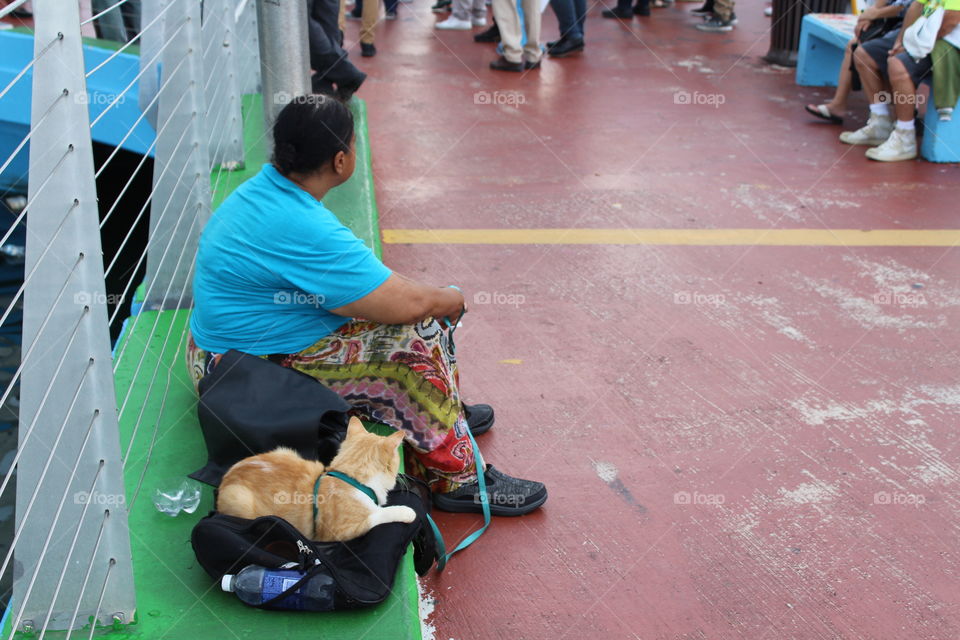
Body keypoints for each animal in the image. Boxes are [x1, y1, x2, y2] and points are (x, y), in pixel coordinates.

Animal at [218, 420, 416, 540]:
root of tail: (225, 479)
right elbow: (377, 515)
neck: (351, 478)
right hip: (239, 499)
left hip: (284, 451)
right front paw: (405, 512)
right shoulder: (340, 532)